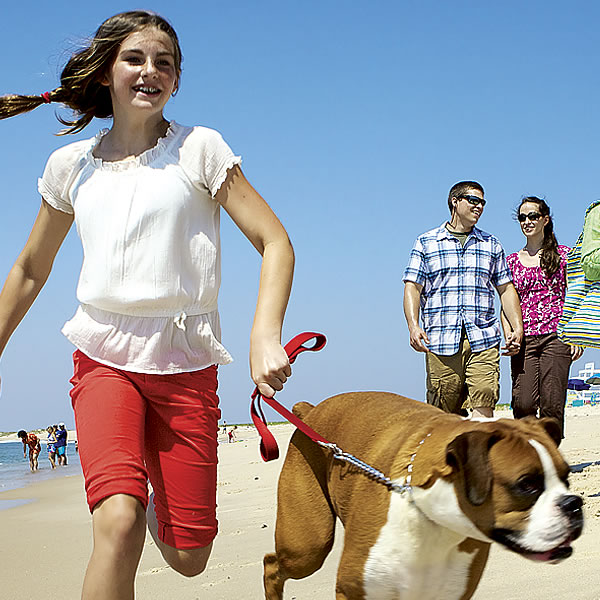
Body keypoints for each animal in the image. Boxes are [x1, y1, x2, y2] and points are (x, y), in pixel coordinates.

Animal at [263, 392, 583, 600]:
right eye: (527, 485)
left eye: (566, 477)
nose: (573, 504)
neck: (432, 521)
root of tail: (310, 409)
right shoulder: (353, 589)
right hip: (307, 548)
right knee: (272, 565)